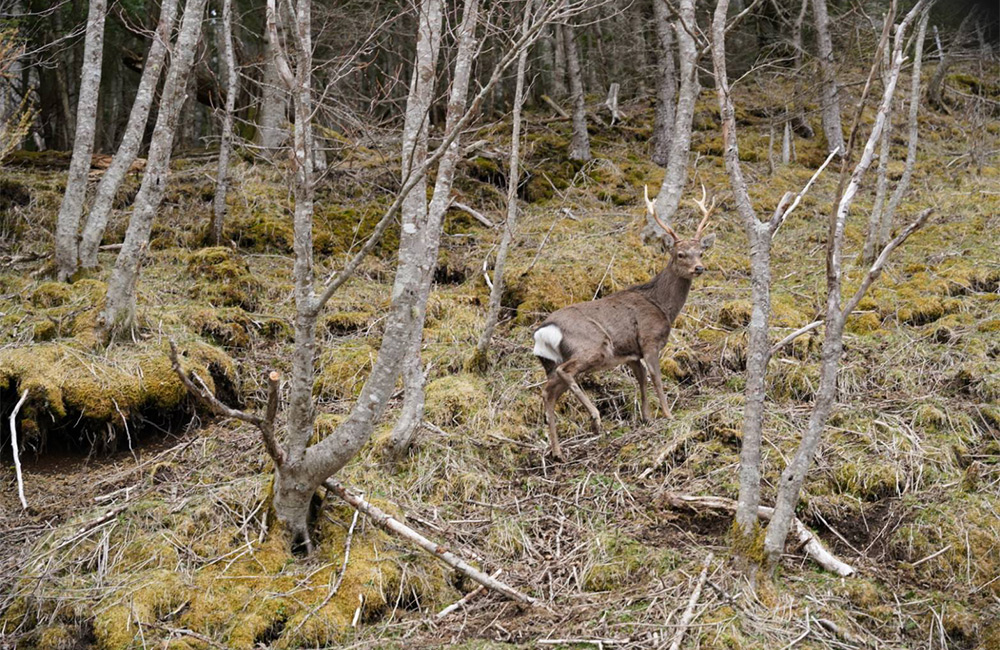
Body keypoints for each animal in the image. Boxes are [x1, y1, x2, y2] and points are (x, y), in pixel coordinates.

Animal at [532, 185, 720, 458]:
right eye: (680, 253)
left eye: (701, 252)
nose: (699, 268)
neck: (662, 306)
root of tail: (543, 332)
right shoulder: (650, 340)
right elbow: (656, 378)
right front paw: (668, 414)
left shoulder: (631, 354)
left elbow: (642, 380)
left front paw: (646, 417)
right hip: (593, 345)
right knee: (565, 373)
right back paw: (595, 417)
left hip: (550, 362)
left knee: (548, 391)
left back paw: (557, 451)